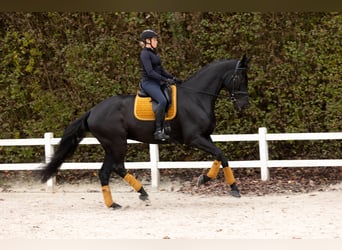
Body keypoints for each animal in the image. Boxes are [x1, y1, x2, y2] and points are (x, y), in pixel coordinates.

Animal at [40, 54, 251, 209]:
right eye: (239, 78)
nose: (244, 105)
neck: (196, 97)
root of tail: (93, 111)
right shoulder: (195, 138)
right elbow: (220, 154)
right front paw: (209, 181)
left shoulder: (205, 136)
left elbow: (221, 156)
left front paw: (226, 185)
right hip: (117, 143)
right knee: (118, 167)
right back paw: (142, 193)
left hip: (111, 146)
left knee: (104, 172)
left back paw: (113, 204)